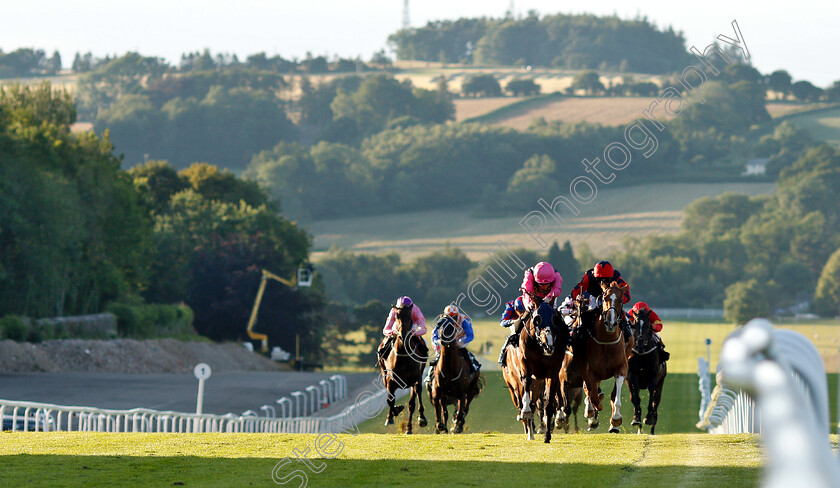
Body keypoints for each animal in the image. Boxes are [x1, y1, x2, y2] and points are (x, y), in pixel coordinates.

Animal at [378, 304, 430, 434]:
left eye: (410, 318)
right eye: (397, 316)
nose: (403, 335)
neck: (403, 355)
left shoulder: (415, 379)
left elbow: (413, 402)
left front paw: (419, 420)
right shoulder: (390, 380)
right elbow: (389, 399)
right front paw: (394, 413)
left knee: (414, 400)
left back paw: (412, 425)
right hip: (383, 373)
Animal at [502, 302, 568, 442]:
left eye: (555, 318)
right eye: (537, 319)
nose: (549, 345)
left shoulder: (552, 373)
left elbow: (548, 404)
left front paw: (547, 434)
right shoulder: (525, 370)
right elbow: (526, 397)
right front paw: (526, 414)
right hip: (514, 385)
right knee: (522, 401)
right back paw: (528, 428)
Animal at [576, 282, 632, 434]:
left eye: (621, 300)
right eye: (605, 297)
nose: (611, 323)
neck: (607, 341)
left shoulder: (622, 368)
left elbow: (615, 394)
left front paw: (616, 420)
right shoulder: (592, 372)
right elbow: (593, 394)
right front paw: (593, 411)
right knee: (588, 389)